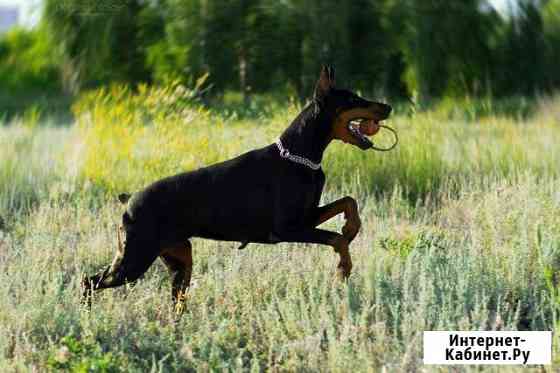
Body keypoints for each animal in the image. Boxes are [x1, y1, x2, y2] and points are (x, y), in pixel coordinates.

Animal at [82, 65, 390, 310]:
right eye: (352, 99)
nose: (388, 107)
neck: (300, 156)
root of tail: (129, 200)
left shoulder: (306, 217)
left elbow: (348, 202)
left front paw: (351, 227)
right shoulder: (287, 228)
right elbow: (336, 239)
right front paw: (343, 267)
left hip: (180, 260)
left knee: (174, 298)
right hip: (134, 259)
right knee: (90, 281)